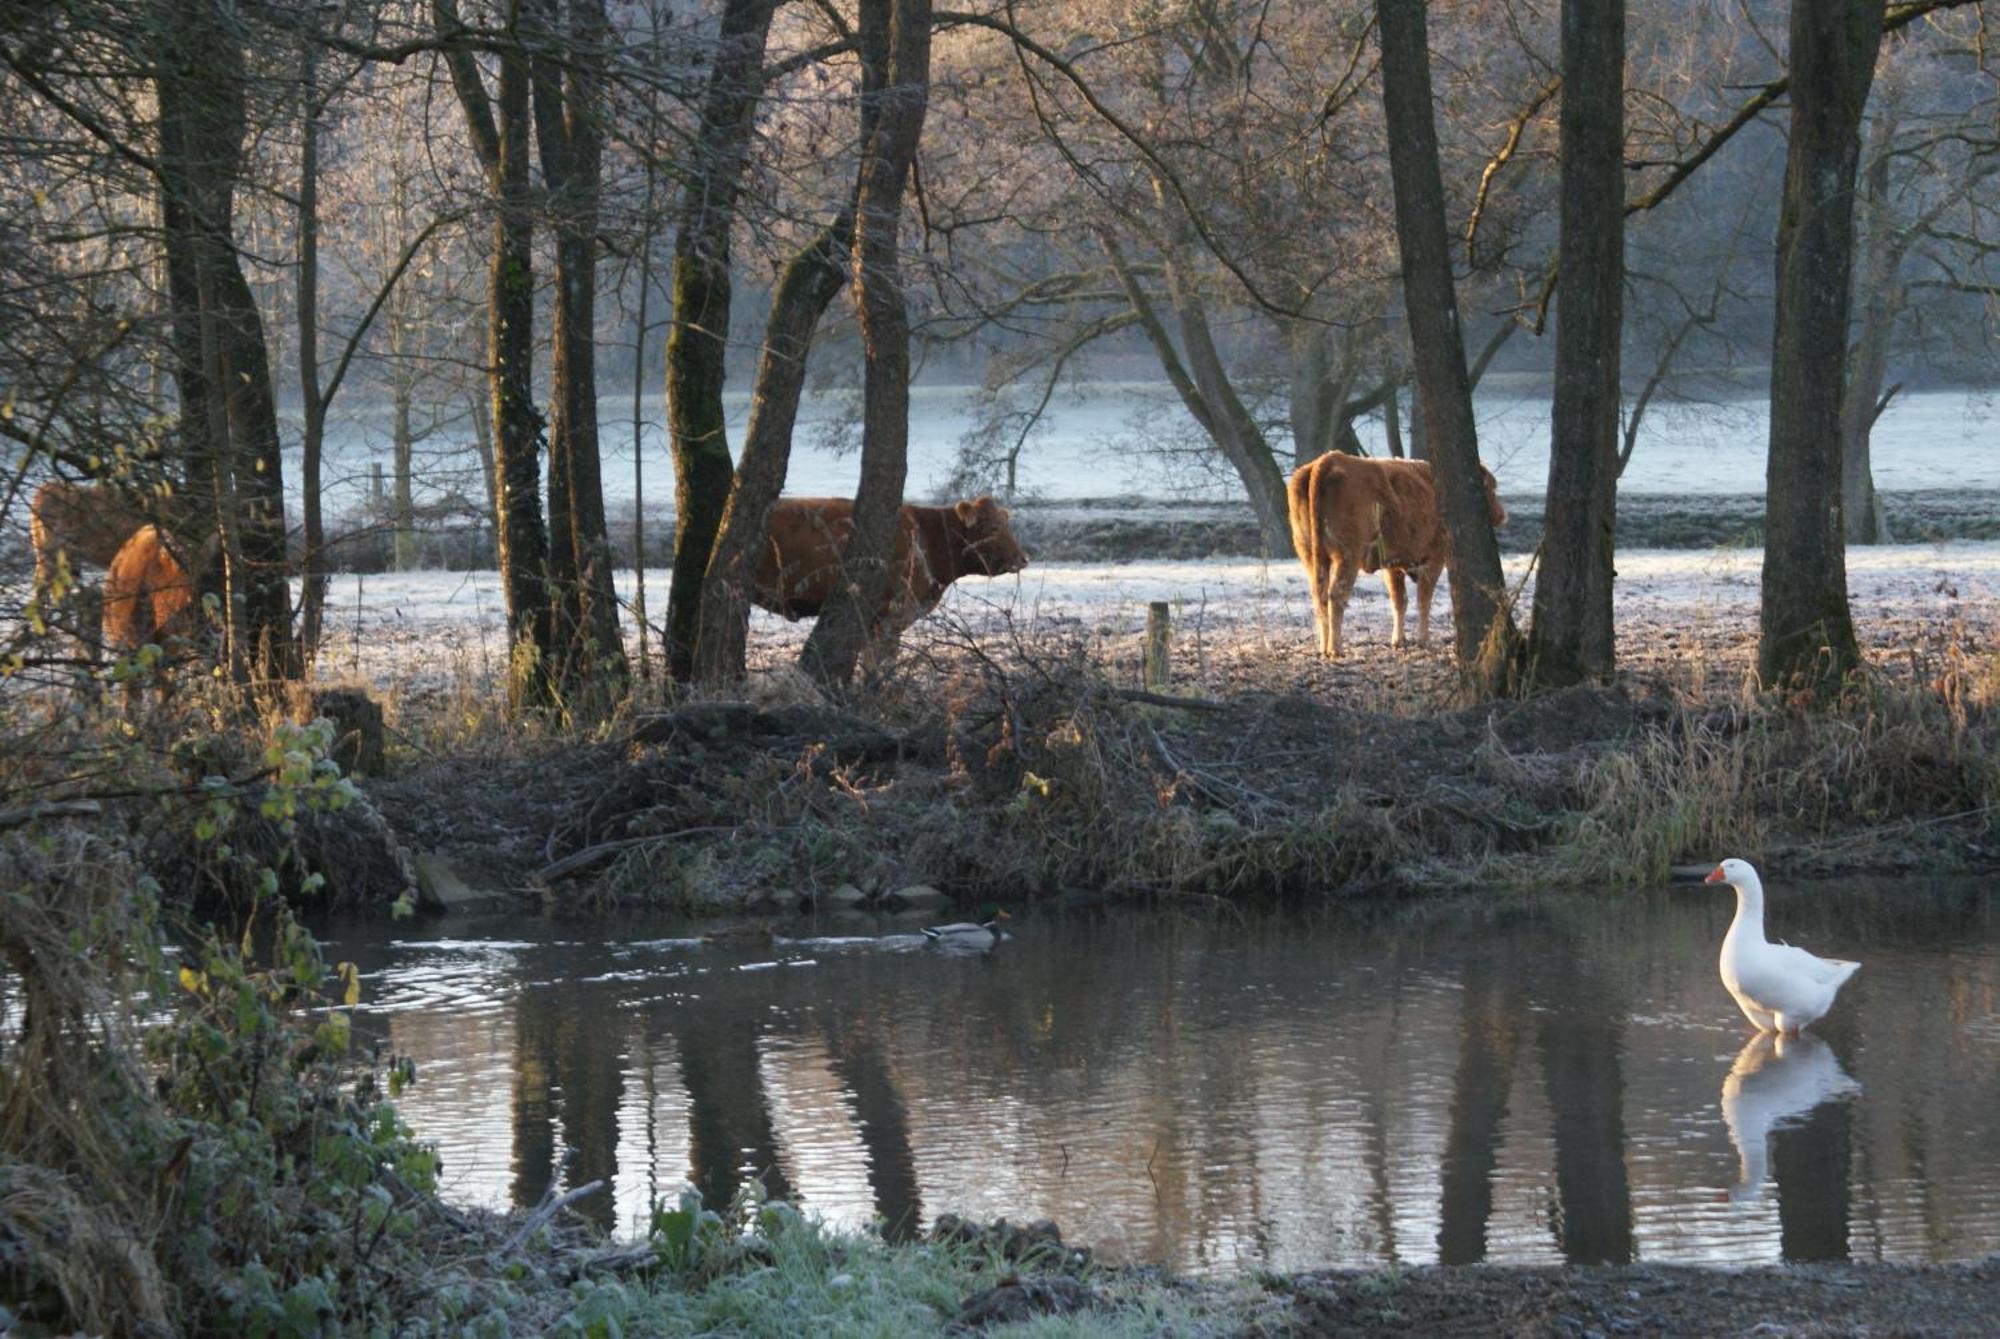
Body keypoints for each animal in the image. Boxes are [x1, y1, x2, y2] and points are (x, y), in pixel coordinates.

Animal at [1288, 453, 1504, 659]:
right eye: (1491, 486)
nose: (1502, 515)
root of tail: (1329, 460)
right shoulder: (1435, 558)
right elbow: (1423, 599)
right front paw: (1423, 640)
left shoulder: (1392, 565)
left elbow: (1399, 600)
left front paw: (1398, 641)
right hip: (1348, 555)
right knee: (1336, 595)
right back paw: (1336, 649)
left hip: (1310, 555)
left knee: (1319, 596)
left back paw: (1323, 648)